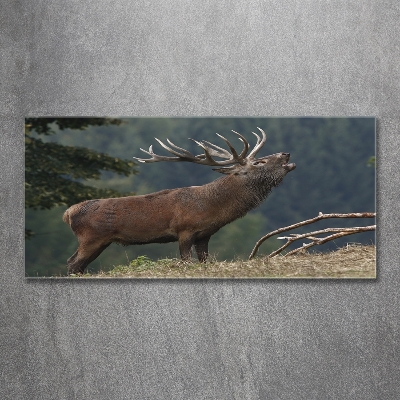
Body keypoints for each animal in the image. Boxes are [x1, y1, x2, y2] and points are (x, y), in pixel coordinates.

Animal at [61, 128, 294, 276]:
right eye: (259, 162)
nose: (286, 153)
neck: (211, 208)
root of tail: (68, 213)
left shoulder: (204, 235)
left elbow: (204, 262)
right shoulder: (184, 230)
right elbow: (185, 262)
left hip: (101, 241)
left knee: (78, 265)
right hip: (91, 237)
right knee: (72, 263)